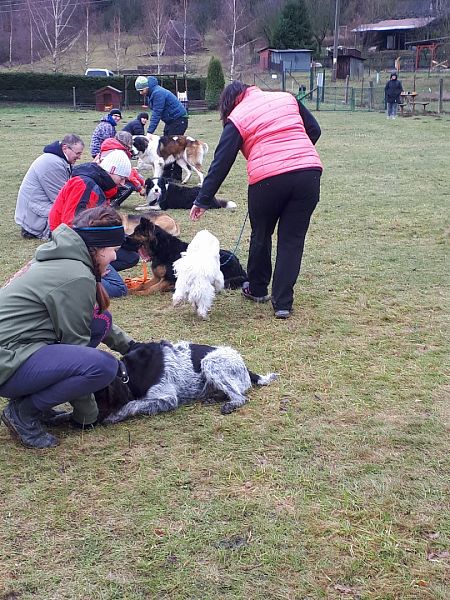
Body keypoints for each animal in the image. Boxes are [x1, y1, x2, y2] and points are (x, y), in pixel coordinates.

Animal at [96, 340, 278, 424]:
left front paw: (114, 416)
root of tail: (246, 368)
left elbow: (133, 404)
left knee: (240, 397)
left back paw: (228, 404)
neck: (128, 372)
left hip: (210, 362)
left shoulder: (168, 399)